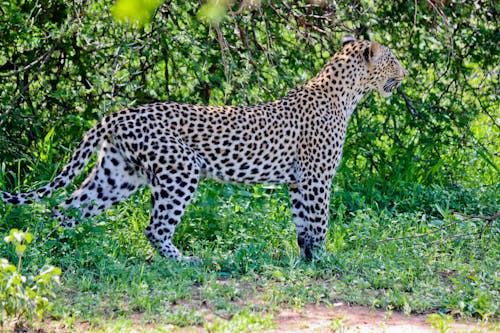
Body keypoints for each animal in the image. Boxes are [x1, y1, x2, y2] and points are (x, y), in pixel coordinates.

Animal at [0, 35, 406, 262]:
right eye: (394, 60)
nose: (405, 75)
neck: (347, 94)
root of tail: (118, 114)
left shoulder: (297, 181)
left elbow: (302, 224)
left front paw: (306, 258)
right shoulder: (317, 178)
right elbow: (319, 221)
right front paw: (323, 260)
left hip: (118, 175)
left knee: (65, 209)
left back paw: (59, 249)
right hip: (180, 171)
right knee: (154, 228)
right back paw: (185, 261)